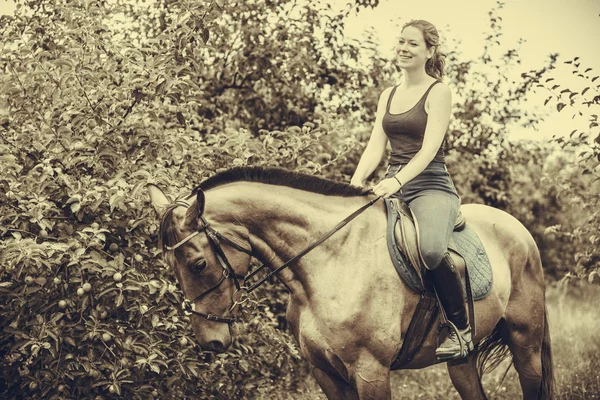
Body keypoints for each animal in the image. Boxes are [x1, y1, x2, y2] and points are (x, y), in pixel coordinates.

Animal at [146, 167, 552, 398]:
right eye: (169, 265)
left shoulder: (371, 372)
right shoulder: (325, 372)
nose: (210, 342)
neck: (333, 259)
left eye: (198, 263)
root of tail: (520, 231)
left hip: (525, 343)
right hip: (462, 361)